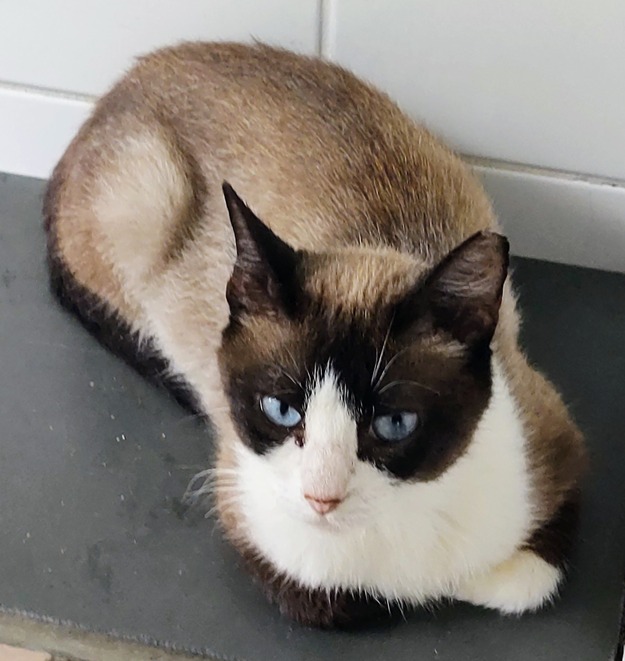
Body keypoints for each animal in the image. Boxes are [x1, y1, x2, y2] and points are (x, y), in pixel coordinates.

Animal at [44, 42, 584, 628]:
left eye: (396, 424)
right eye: (282, 411)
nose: (322, 498)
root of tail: (116, 89)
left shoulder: (556, 442)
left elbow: (526, 581)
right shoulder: (258, 530)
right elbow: (347, 600)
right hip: (149, 195)